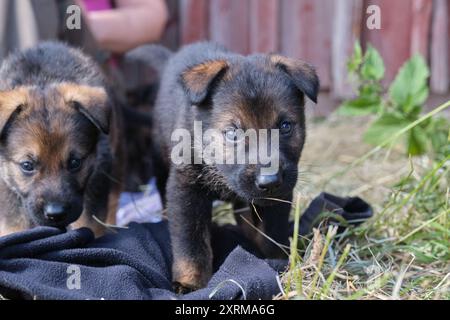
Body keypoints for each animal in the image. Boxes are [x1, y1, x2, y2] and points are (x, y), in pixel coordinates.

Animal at [153, 42, 318, 290]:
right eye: (232, 133)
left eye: (285, 126)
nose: (270, 181)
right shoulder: (186, 189)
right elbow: (191, 243)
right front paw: (190, 283)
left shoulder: (279, 197)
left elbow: (272, 233)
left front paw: (276, 263)